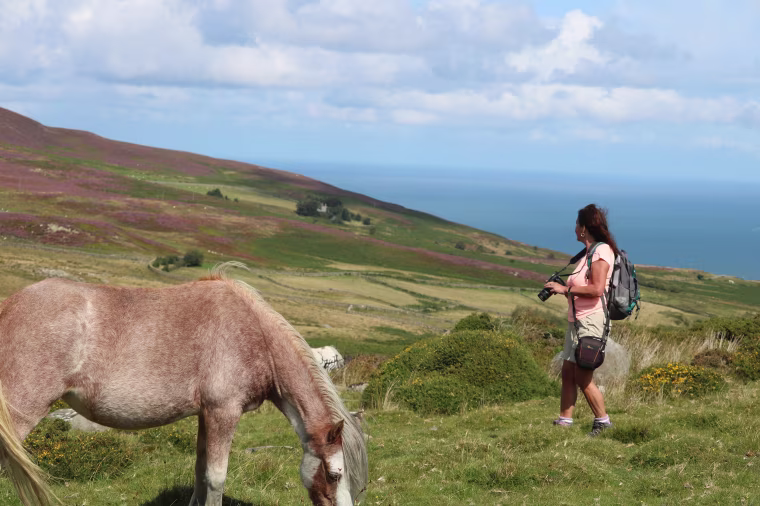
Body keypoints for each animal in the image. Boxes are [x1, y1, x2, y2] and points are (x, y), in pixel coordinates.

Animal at [0, 263, 368, 506]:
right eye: (335, 474)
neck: (256, 336)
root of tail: (9, 306)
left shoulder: (206, 415)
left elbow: (200, 470)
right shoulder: (223, 412)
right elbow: (217, 477)